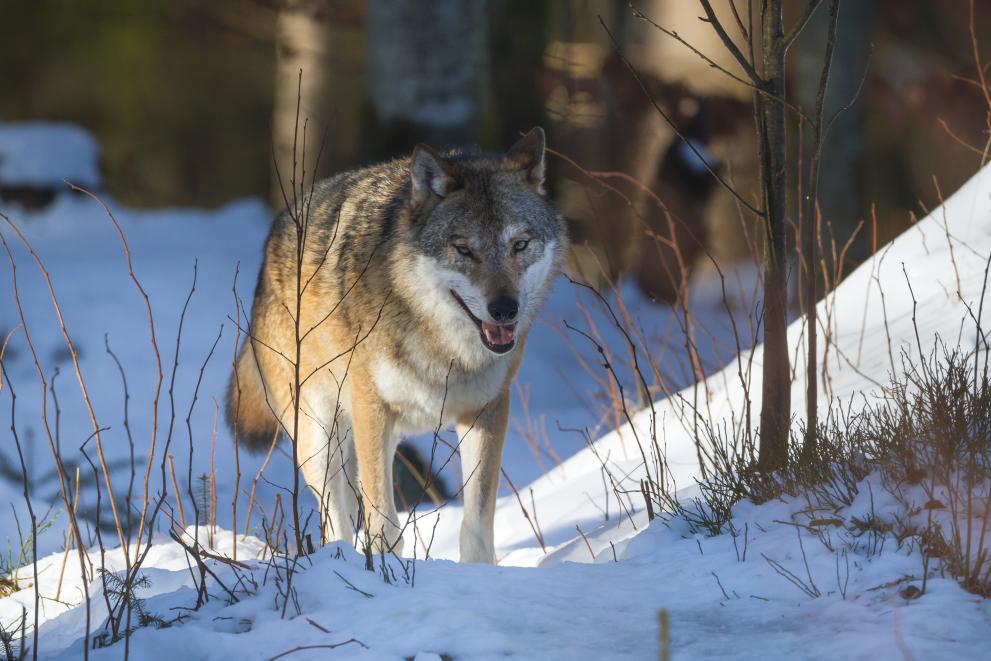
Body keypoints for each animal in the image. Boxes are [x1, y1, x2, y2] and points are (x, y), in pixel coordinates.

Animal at [226, 127, 564, 564]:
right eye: (463, 249)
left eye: (519, 245)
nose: (505, 309)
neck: (442, 350)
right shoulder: (373, 408)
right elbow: (384, 525)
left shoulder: (486, 411)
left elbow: (476, 522)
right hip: (319, 436)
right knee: (335, 518)